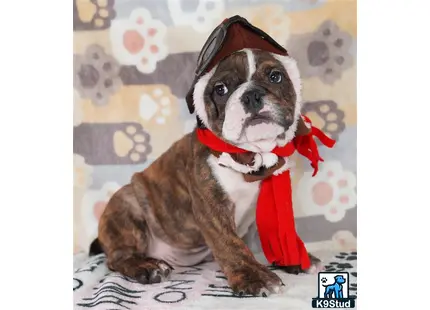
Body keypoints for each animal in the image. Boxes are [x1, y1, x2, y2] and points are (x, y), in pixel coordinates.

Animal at [93, 47, 322, 296]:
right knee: (118, 258)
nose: (251, 95)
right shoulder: (212, 207)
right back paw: (147, 267)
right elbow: (230, 245)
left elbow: (278, 231)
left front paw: (294, 258)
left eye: (275, 76)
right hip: (126, 204)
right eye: (221, 89)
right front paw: (255, 277)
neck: (252, 153)